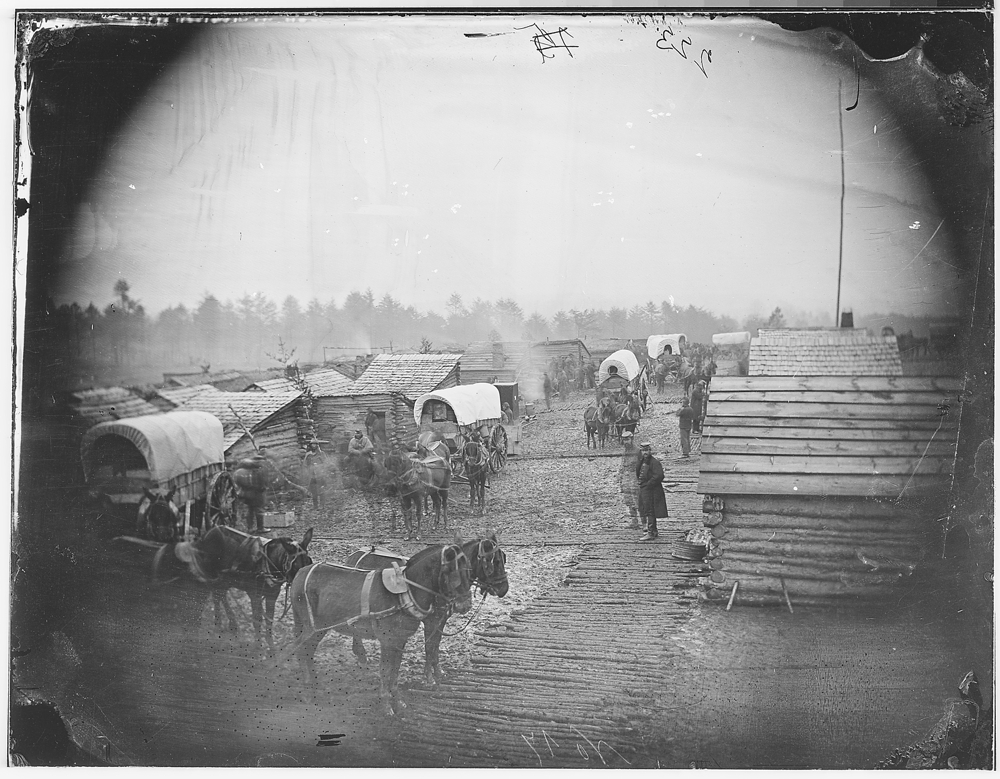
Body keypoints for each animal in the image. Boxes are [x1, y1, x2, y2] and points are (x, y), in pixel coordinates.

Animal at [152, 524, 312, 660]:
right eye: (295, 565)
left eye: (309, 562)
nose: (302, 586)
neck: (267, 561)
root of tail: (206, 534)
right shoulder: (254, 595)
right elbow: (257, 620)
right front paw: (258, 646)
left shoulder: (272, 595)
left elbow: (269, 621)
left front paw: (271, 647)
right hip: (213, 574)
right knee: (217, 595)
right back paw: (224, 623)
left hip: (224, 578)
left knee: (219, 595)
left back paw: (226, 623)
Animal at [286, 544, 472, 720]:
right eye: (453, 572)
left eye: (469, 569)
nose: (465, 604)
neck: (405, 593)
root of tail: (300, 573)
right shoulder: (388, 640)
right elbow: (386, 671)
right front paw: (386, 705)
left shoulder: (400, 640)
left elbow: (395, 671)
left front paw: (397, 701)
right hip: (310, 627)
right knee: (301, 651)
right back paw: (308, 689)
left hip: (319, 629)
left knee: (308, 652)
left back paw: (316, 684)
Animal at [350, 532, 508, 684]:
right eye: (494, 562)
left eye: (504, 559)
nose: (504, 589)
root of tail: (356, 554)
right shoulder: (431, 621)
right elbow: (430, 646)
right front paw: (429, 676)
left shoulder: (441, 620)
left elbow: (435, 645)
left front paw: (437, 671)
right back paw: (361, 655)